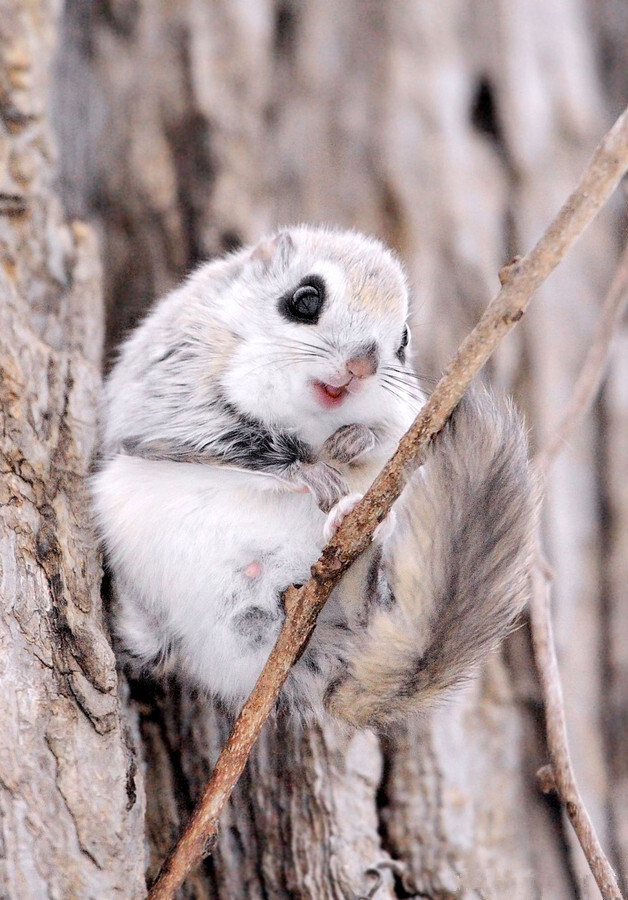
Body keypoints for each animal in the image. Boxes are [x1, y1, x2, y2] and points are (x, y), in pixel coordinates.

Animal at [91, 225, 536, 732]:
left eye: (403, 340)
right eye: (304, 300)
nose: (362, 366)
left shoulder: (408, 414)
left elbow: (393, 436)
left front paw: (356, 440)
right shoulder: (172, 389)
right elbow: (227, 440)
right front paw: (309, 470)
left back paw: (357, 526)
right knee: (151, 644)